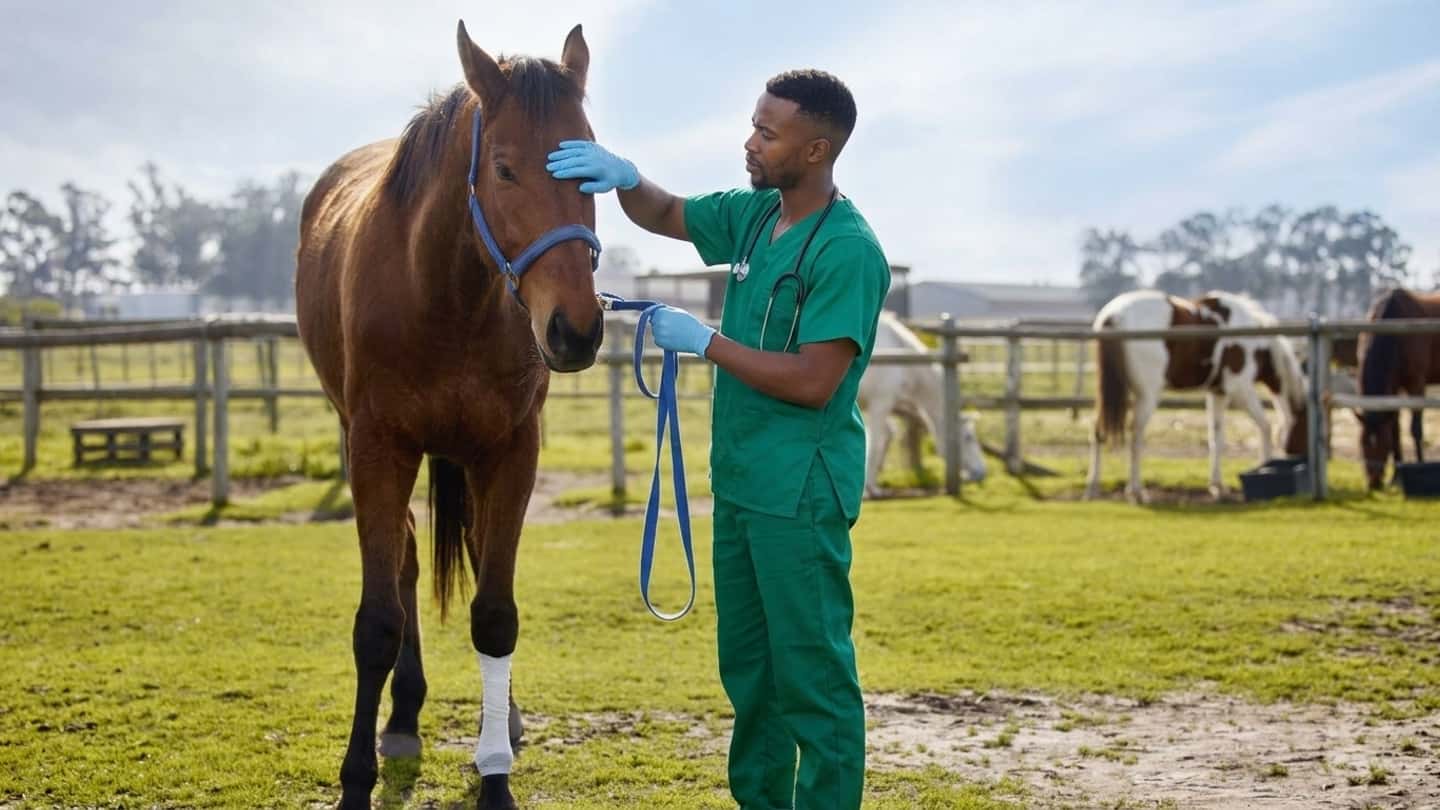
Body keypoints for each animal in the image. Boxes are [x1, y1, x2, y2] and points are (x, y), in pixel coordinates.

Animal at [295, 23, 603, 810]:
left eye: (592, 171)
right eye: (504, 168)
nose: (576, 331)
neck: (444, 294)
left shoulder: (513, 451)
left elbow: (495, 613)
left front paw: (496, 774)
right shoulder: (378, 449)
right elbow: (377, 622)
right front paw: (355, 782)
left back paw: (507, 716)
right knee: (405, 563)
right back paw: (402, 716)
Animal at [859, 311, 986, 497]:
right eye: (968, 437)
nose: (982, 472)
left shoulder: (885, 405)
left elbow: (887, 436)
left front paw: (872, 482)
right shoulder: (880, 403)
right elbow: (875, 444)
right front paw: (872, 489)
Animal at [1085, 289, 1308, 502]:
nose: (1303, 457)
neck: (1256, 341)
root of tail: (1114, 315)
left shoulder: (1217, 392)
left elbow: (1216, 437)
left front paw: (1217, 487)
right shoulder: (1240, 389)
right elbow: (1265, 427)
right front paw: (1264, 465)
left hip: (1111, 394)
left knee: (1098, 430)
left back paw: (1094, 486)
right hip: (1147, 394)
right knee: (1136, 435)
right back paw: (1137, 491)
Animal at [1355, 288, 1440, 490]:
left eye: (1383, 444)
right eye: (1361, 443)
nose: (1374, 483)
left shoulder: (1416, 384)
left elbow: (1415, 429)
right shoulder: (1393, 388)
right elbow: (1395, 429)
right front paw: (1396, 477)